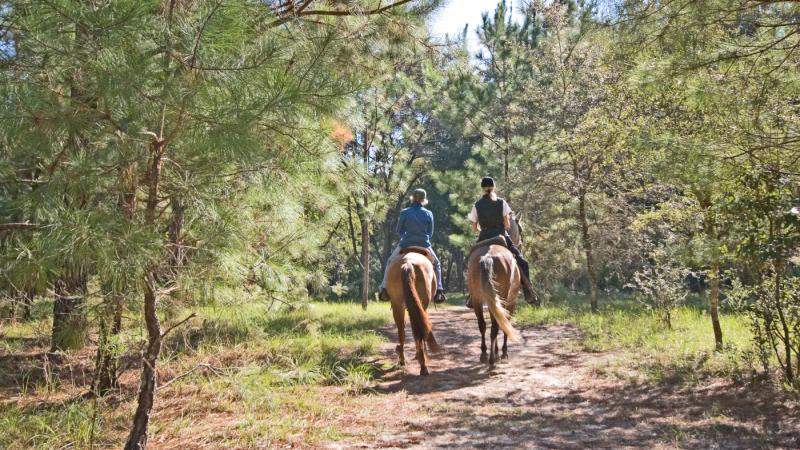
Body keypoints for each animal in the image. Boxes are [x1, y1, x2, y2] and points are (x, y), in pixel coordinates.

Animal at [466, 236, 520, 366]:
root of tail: (488, 256)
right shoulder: (511, 303)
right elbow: (505, 323)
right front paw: (503, 353)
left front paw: (495, 351)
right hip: (503, 298)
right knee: (496, 326)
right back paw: (492, 359)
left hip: (477, 299)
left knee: (482, 325)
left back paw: (484, 355)